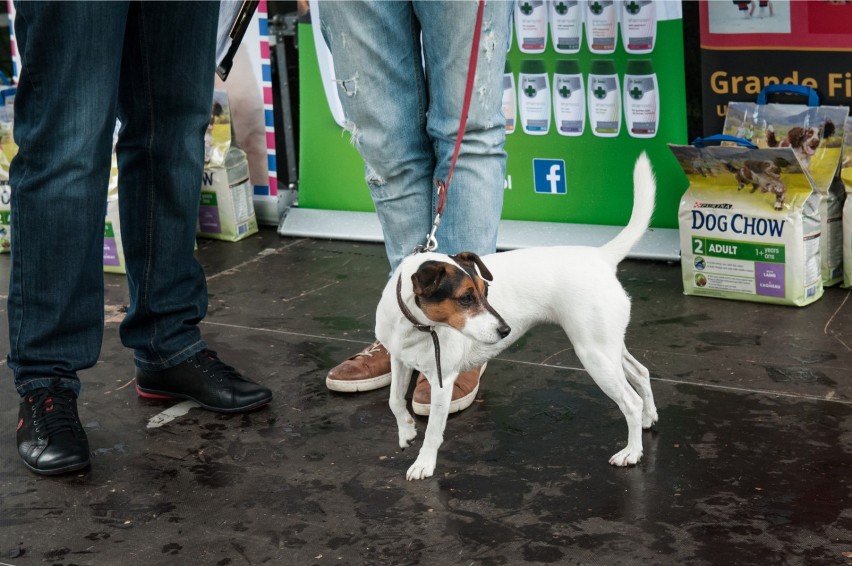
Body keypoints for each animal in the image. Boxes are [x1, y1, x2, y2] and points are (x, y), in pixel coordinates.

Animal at [376, 153, 664, 482]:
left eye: (485, 291)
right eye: (466, 298)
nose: (505, 330)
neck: (417, 327)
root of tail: (600, 256)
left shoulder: (442, 381)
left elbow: (434, 431)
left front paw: (424, 462)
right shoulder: (399, 360)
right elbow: (394, 399)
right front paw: (406, 431)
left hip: (595, 356)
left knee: (630, 401)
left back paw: (632, 452)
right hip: (606, 346)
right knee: (640, 373)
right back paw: (649, 417)